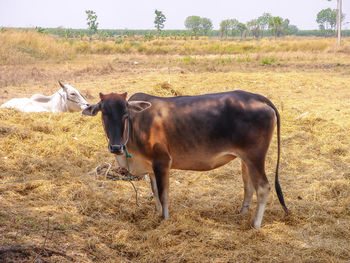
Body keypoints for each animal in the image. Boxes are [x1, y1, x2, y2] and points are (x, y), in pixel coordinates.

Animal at [82, 91, 288, 229]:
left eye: (125, 113)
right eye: (103, 112)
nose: (115, 147)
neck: (135, 127)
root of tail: (256, 97)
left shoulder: (162, 161)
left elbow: (163, 194)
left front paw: (164, 220)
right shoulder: (151, 167)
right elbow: (154, 192)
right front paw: (156, 215)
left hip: (255, 156)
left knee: (263, 187)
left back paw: (255, 224)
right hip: (245, 159)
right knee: (248, 185)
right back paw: (242, 213)